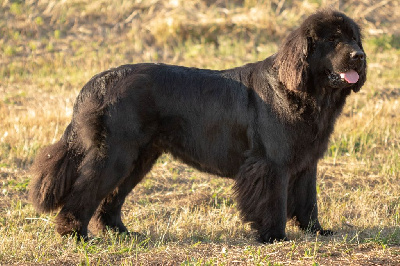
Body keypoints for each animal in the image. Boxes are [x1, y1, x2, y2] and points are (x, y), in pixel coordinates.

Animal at [29, 9, 368, 243]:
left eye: (353, 38)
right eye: (332, 40)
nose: (359, 56)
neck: (302, 91)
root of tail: (98, 82)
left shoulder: (306, 161)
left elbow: (309, 200)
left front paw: (317, 231)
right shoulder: (271, 164)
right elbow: (273, 201)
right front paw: (274, 237)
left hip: (137, 159)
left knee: (111, 197)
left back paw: (123, 233)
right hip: (115, 155)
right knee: (85, 191)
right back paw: (75, 233)